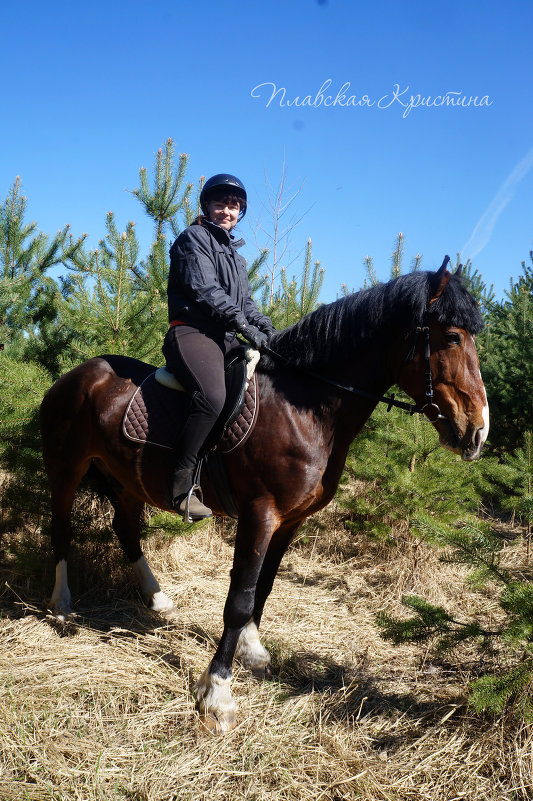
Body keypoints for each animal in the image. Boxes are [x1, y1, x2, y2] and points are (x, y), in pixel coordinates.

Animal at [39, 260, 486, 732]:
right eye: (452, 337)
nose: (478, 433)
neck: (305, 407)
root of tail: (75, 375)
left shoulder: (290, 521)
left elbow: (263, 588)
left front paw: (252, 651)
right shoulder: (260, 514)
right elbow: (239, 599)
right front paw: (216, 693)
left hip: (127, 479)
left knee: (124, 528)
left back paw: (157, 598)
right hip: (66, 468)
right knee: (61, 528)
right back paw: (62, 606)